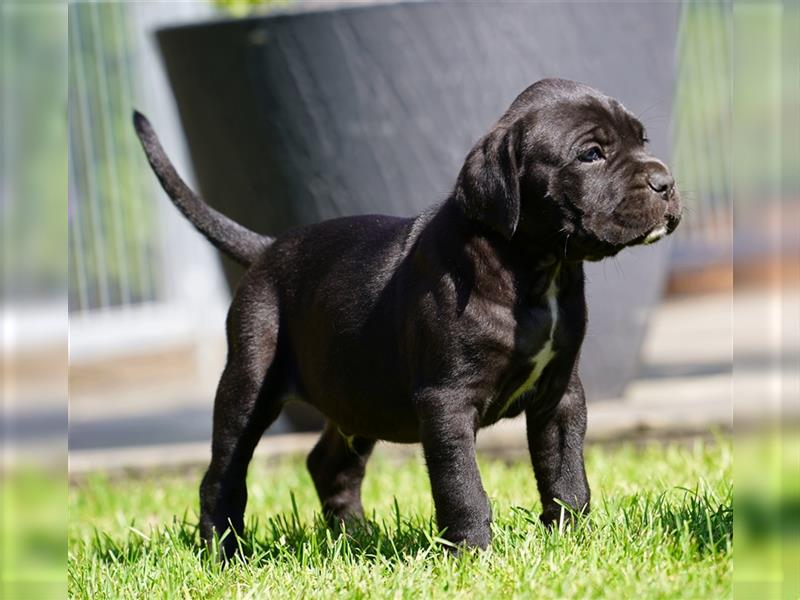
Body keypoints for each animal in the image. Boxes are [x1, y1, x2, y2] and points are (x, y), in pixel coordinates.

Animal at [133, 77, 680, 556]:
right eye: (591, 154)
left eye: (642, 140)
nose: (666, 182)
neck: (535, 268)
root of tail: (267, 248)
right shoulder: (446, 402)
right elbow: (462, 485)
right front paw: (474, 554)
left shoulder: (560, 394)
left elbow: (565, 475)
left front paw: (572, 542)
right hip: (249, 385)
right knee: (223, 475)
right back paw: (224, 553)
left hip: (358, 395)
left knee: (328, 464)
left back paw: (356, 538)